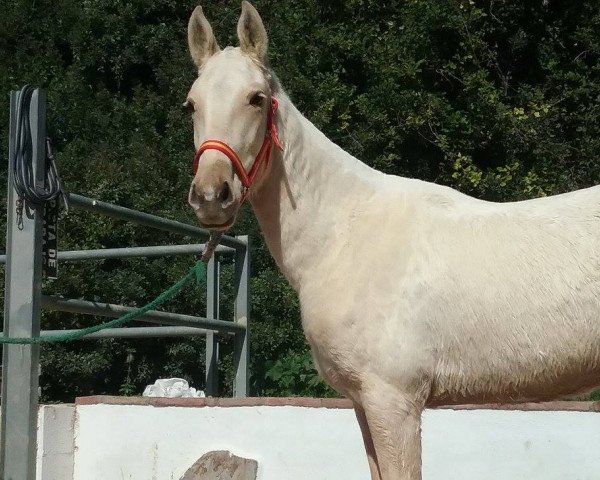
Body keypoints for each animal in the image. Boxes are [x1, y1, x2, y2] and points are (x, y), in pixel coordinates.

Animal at [185, 1, 600, 478]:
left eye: (256, 99)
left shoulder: (393, 401)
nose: (211, 196)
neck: (344, 235)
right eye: (191, 104)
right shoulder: (364, 404)